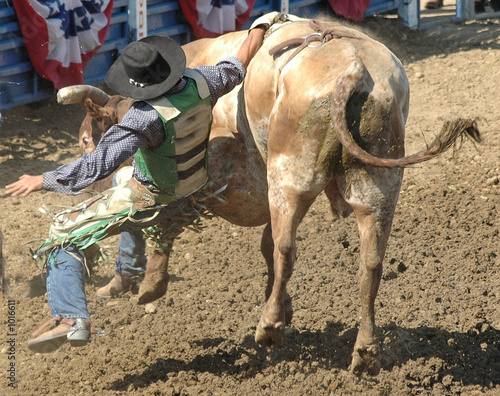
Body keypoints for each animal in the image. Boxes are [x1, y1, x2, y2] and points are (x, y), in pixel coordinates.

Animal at [55, 18, 480, 376]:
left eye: (85, 139)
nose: (86, 191)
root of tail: (353, 70)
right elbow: (262, 243)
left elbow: (172, 222)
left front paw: (150, 286)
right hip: (378, 187)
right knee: (370, 264)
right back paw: (365, 351)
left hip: (289, 179)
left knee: (287, 249)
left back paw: (270, 326)